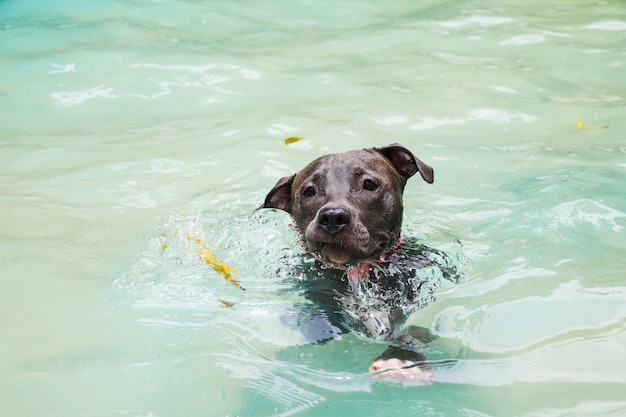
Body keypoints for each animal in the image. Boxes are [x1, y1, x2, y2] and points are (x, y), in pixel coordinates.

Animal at [260, 143, 456, 380]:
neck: (356, 270)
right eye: (309, 191)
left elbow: (417, 327)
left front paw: (402, 359)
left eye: (369, 184)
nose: (333, 216)